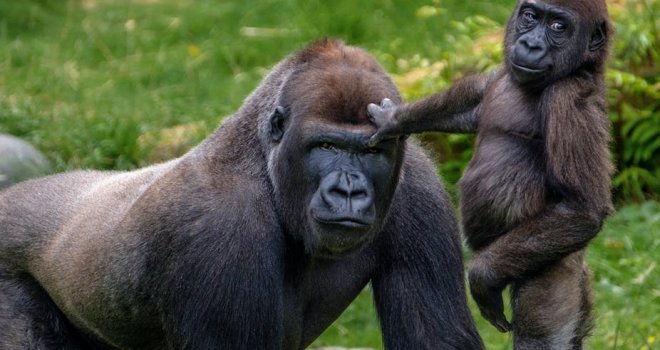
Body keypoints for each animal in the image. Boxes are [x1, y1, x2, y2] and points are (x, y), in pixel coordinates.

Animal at [0, 40, 484, 350]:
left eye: (371, 151)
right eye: (326, 146)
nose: (348, 189)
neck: (262, 164)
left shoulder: (418, 186)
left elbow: (435, 337)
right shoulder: (222, 228)